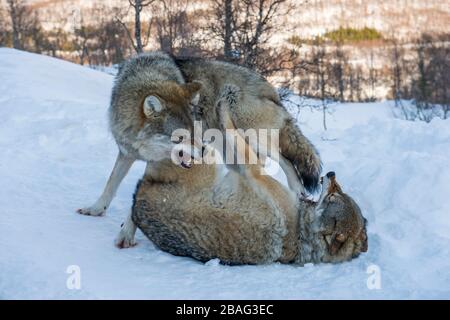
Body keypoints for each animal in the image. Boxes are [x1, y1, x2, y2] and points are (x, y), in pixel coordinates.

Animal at [79, 52, 322, 218]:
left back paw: (298, 192)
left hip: (247, 130)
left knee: (286, 160)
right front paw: (96, 209)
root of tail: (272, 90)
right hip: (231, 152)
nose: (204, 151)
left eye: (194, 130)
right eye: (180, 137)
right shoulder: (127, 152)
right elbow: (111, 183)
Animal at [121, 85, 368, 264]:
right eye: (339, 191)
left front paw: (223, 106)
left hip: (205, 160)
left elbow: (232, 129)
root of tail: (138, 202)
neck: (301, 226)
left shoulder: (254, 171)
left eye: (334, 196)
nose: (331, 174)